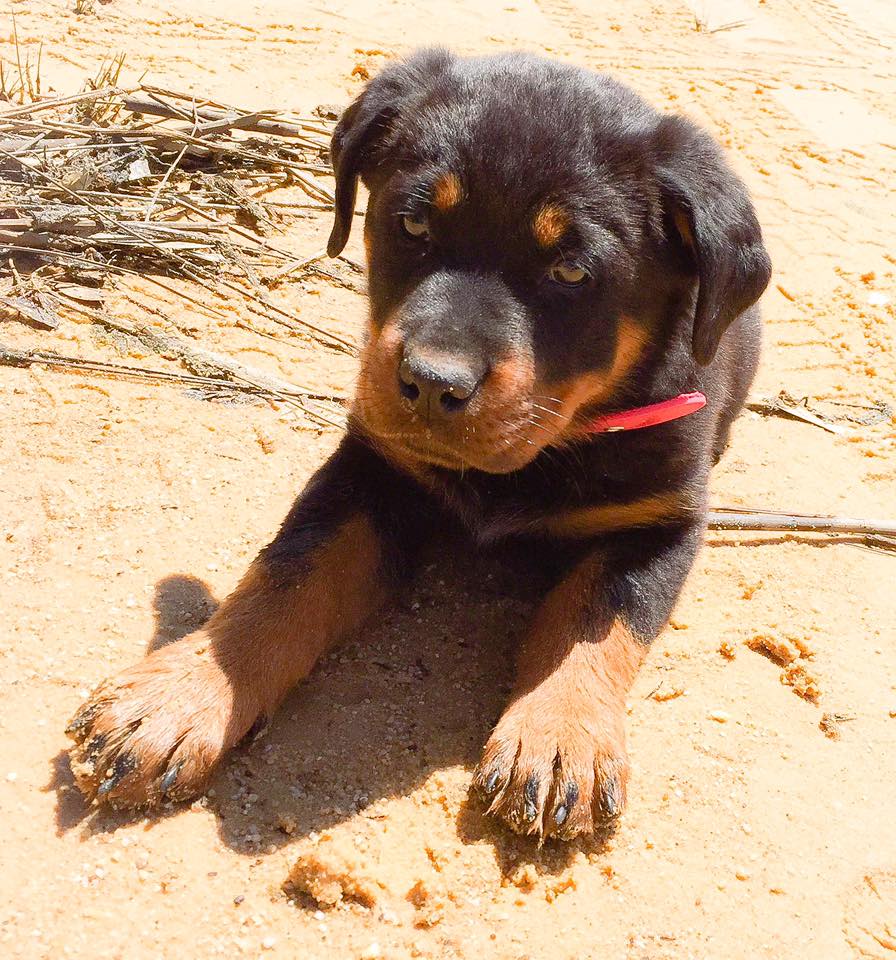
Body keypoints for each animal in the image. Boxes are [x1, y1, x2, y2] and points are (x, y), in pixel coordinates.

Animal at [68, 48, 768, 836]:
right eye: (411, 223)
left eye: (571, 271)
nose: (432, 383)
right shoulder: (374, 468)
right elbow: (287, 575)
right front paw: (182, 693)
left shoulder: (658, 521)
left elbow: (597, 617)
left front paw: (559, 736)